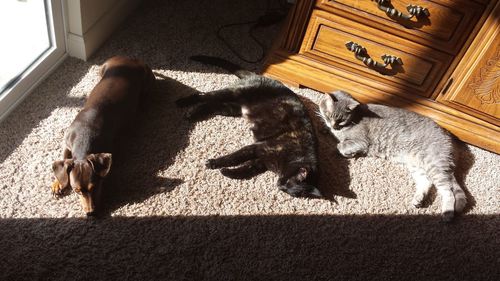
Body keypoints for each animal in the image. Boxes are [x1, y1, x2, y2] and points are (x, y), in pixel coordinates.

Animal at [51, 55, 154, 215]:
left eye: (96, 186)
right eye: (76, 190)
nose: (91, 213)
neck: (83, 139)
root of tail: (130, 58)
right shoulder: (67, 142)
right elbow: (64, 159)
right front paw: (57, 183)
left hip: (147, 81)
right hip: (101, 69)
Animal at [178, 55, 322, 197]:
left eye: (288, 191)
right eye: (287, 183)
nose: (279, 186)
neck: (298, 153)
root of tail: (258, 75)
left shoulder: (261, 160)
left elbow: (246, 169)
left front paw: (226, 172)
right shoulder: (258, 148)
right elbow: (234, 157)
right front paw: (214, 163)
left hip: (231, 108)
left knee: (212, 105)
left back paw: (192, 114)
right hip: (232, 93)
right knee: (204, 95)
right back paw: (183, 103)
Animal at [318, 91, 466, 220]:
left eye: (341, 120)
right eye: (328, 115)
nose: (334, 126)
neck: (354, 118)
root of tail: (449, 138)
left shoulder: (361, 142)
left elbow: (340, 145)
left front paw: (344, 151)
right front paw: (326, 129)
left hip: (434, 164)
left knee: (448, 191)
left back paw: (447, 213)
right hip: (417, 165)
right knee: (426, 182)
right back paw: (418, 199)